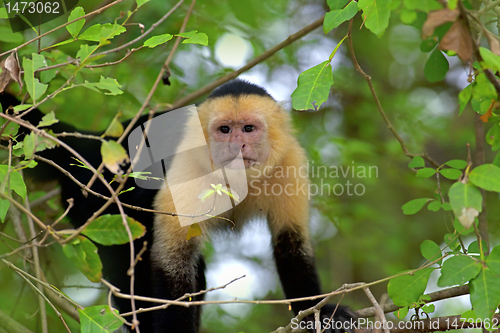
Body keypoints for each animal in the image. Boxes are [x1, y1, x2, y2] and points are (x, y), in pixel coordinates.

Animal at [0, 80, 354, 332]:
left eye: (248, 129)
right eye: (224, 130)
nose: (237, 145)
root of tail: (96, 144)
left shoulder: (289, 161)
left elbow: (291, 245)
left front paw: (321, 313)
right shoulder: (187, 166)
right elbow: (172, 262)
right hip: (94, 198)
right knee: (133, 257)